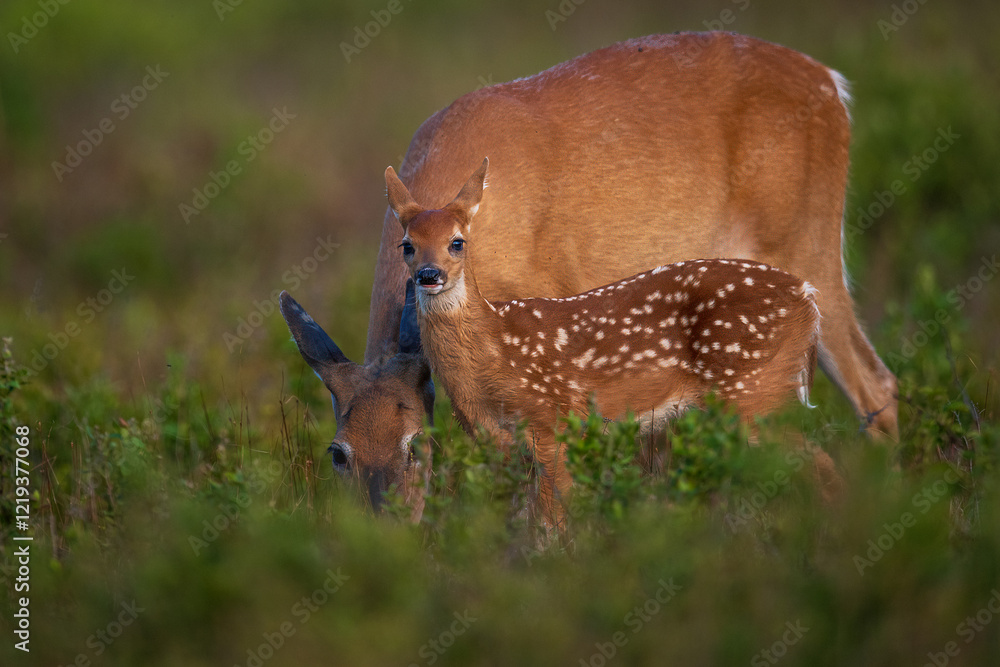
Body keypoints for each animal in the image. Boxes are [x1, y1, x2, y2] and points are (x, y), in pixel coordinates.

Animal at [385, 157, 828, 528]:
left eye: (457, 241)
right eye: (407, 245)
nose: (429, 275)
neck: (494, 350)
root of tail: (807, 296)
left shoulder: (552, 420)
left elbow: (555, 517)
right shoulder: (497, 442)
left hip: (754, 389)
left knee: (820, 464)